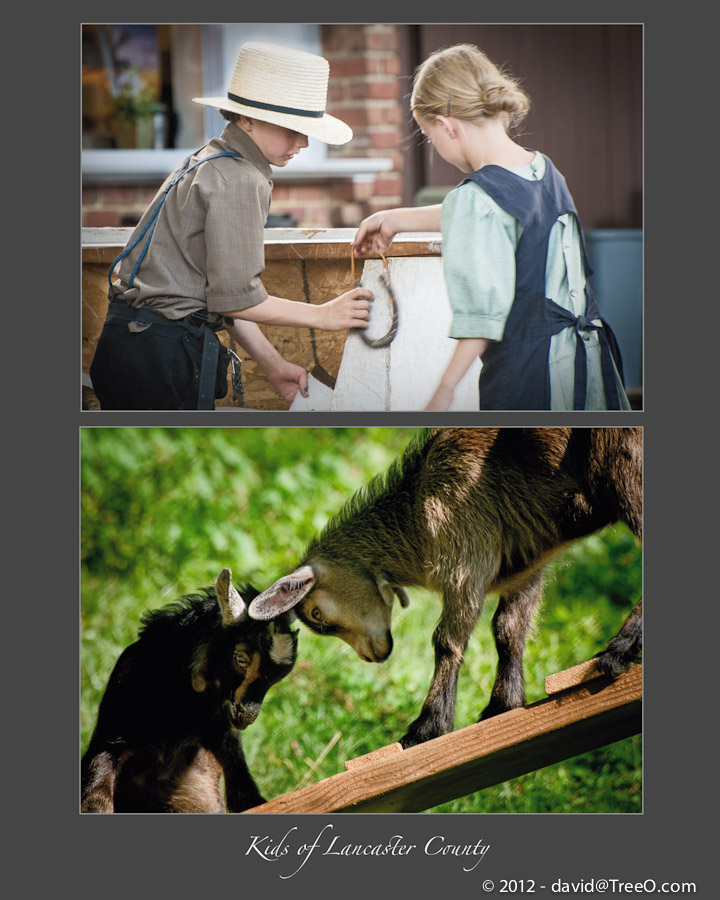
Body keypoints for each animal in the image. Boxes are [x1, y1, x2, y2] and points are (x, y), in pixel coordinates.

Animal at [81, 568, 298, 816]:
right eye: (240, 658)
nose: (246, 717)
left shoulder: (222, 737)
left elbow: (246, 796)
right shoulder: (110, 737)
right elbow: (96, 799)